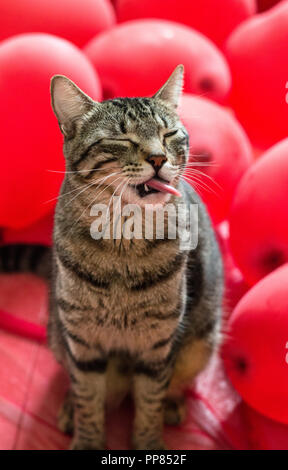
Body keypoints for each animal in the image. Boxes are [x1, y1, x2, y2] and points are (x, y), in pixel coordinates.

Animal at [47, 64, 222, 450]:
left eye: (169, 133)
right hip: (57, 332)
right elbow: (88, 398)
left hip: (201, 342)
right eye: (122, 139)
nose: (158, 158)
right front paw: (88, 440)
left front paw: (149, 443)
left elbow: (150, 402)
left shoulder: (158, 346)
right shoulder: (83, 343)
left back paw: (173, 403)